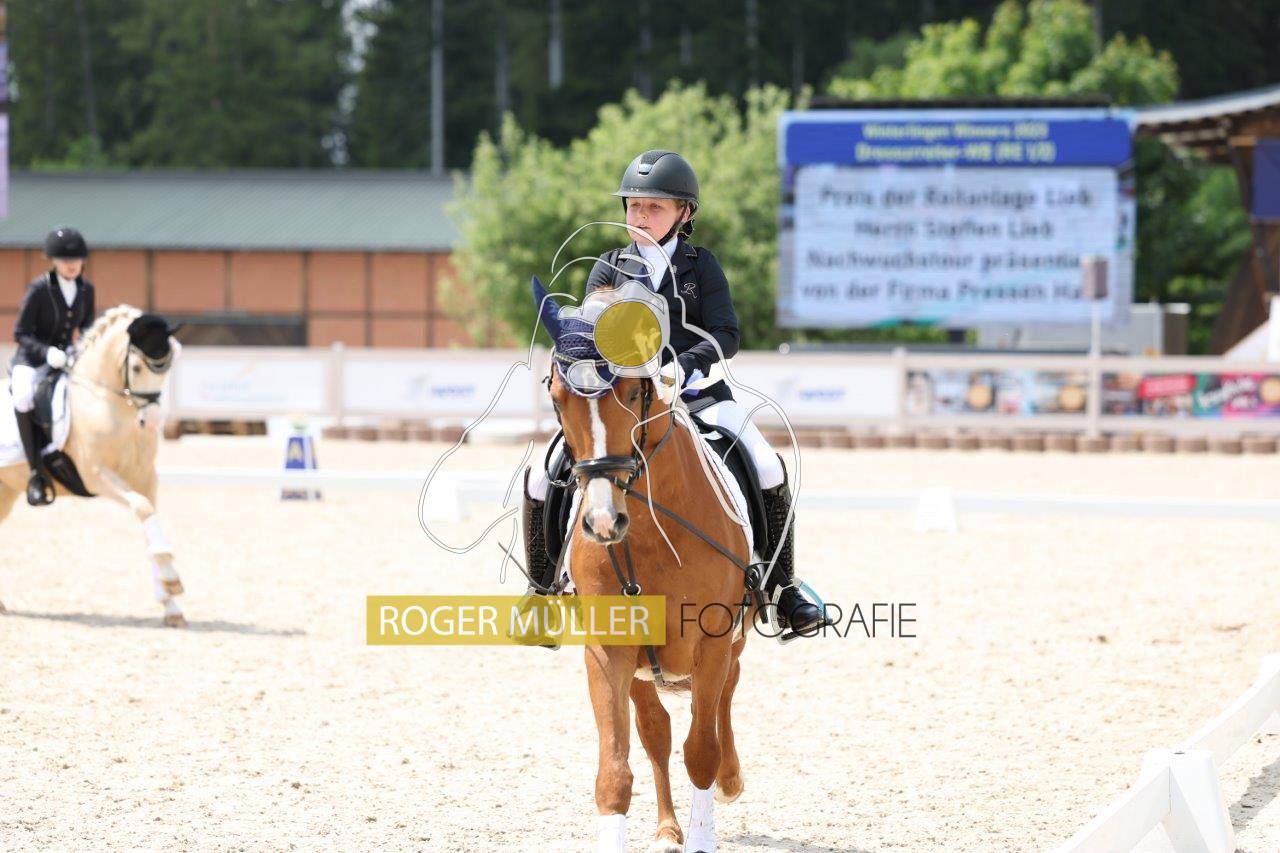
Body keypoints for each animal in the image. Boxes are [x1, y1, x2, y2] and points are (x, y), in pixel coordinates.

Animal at [0, 305, 186, 627]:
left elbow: (148, 517)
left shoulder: (145, 477)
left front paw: (170, 602)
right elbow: (143, 509)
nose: (151, 422)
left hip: (5, 493)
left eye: (166, 369)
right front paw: (171, 576)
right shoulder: (96, 476)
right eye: (137, 368)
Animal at [535, 293, 755, 853]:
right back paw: (667, 827)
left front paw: (704, 833)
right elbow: (615, 771)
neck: (650, 534)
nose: (602, 521)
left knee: (724, 699)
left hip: (733, 641)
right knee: (657, 730)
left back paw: (730, 783)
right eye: (557, 399)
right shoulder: (608, 649)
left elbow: (702, 749)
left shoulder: (713, 641)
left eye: (635, 391)